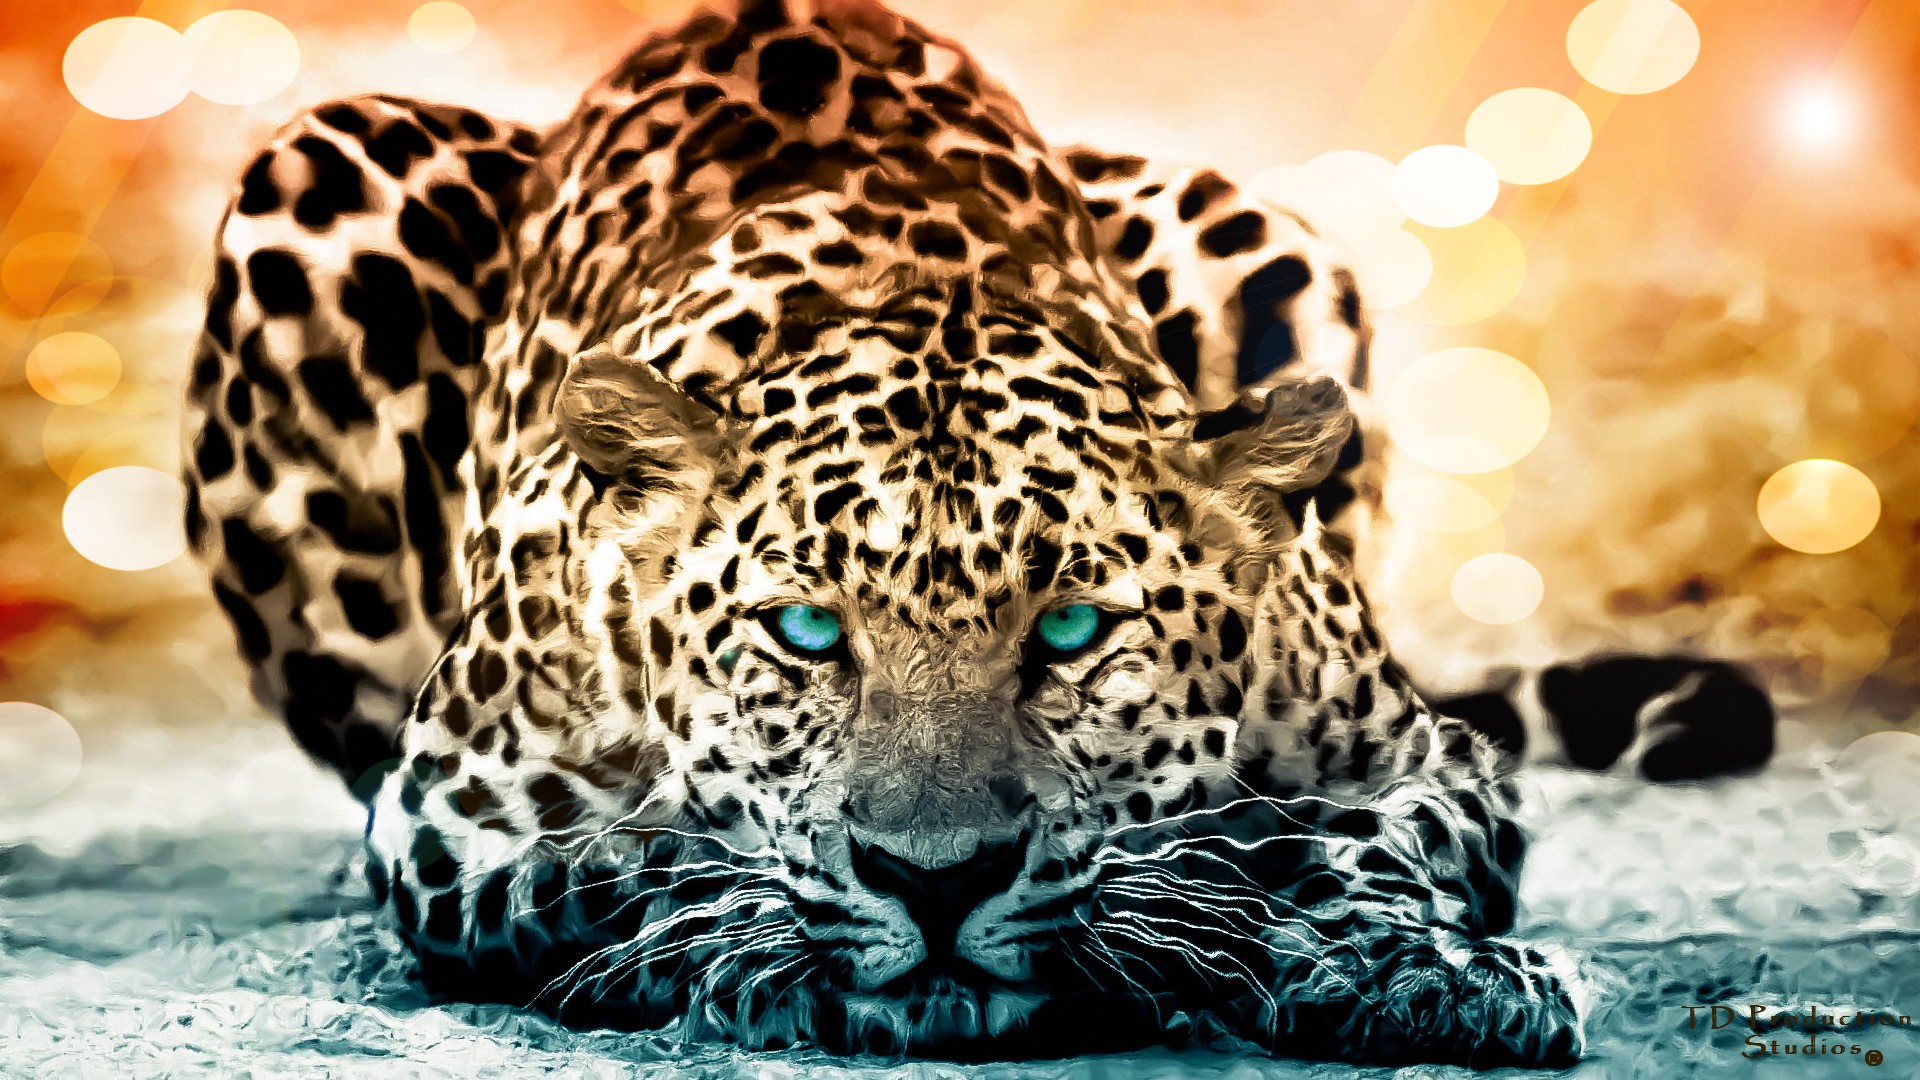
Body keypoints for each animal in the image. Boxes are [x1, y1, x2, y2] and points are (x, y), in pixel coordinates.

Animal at [180, 0, 1775, 1066]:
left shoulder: (1419, 755)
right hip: (320, 176)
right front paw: (746, 941)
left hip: (1258, 233)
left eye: (1069, 631)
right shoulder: (451, 816)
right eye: (804, 632)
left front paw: (1418, 966)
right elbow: (616, 869)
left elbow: (1343, 832)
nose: (938, 882)